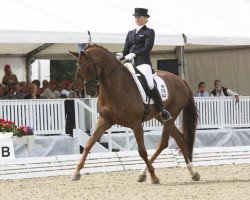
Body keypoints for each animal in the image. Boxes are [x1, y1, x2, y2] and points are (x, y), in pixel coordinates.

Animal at [69, 44, 200, 184]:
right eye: (78, 69)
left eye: (88, 67)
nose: (91, 91)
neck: (116, 87)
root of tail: (180, 80)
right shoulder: (105, 120)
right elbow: (89, 143)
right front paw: (76, 172)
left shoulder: (136, 124)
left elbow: (142, 151)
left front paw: (154, 176)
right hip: (161, 117)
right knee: (179, 138)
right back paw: (192, 173)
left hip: (171, 116)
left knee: (163, 143)